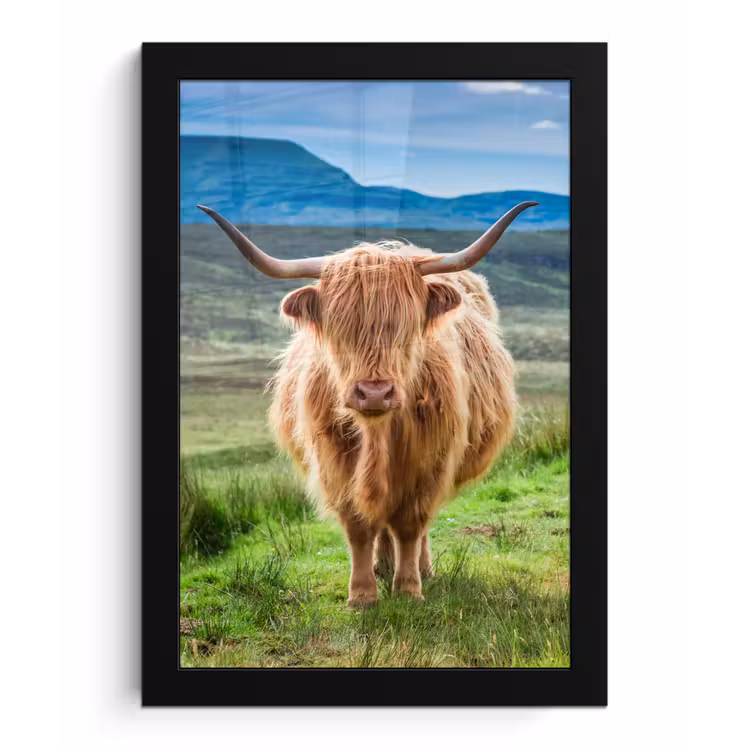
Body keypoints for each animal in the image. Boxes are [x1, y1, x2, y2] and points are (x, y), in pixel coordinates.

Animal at [197, 201, 537, 608]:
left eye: (406, 327)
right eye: (339, 327)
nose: (374, 393)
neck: (378, 434)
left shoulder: (430, 462)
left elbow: (410, 525)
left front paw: (408, 589)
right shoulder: (335, 462)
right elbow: (359, 526)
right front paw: (362, 594)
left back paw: (419, 569)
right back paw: (382, 566)